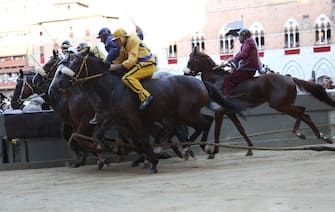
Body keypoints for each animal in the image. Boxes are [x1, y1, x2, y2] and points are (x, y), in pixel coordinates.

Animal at [47, 48, 245, 174]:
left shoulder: (131, 118)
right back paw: (189, 147)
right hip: (180, 114)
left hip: (185, 113)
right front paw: (110, 149)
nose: (54, 88)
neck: (112, 88)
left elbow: (141, 139)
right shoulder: (117, 120)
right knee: (199, 123)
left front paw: (152, 161)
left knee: (204, 122)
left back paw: (196, 147)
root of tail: (201, 82)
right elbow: (106, 136)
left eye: (72, 64)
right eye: (57, 68)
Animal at [186, 46, 335, 151]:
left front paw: (213, 152)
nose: (185, 72)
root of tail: (289, 78)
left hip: (280, 104)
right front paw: (249, 148)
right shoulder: (229, 111)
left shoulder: (220, 111)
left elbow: (217, 130)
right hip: (284, 104)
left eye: (190, 60)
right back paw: (322, 136)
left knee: (302, 110)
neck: (216, 80)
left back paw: (299, 132)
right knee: (305, 115)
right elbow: (240, 128)